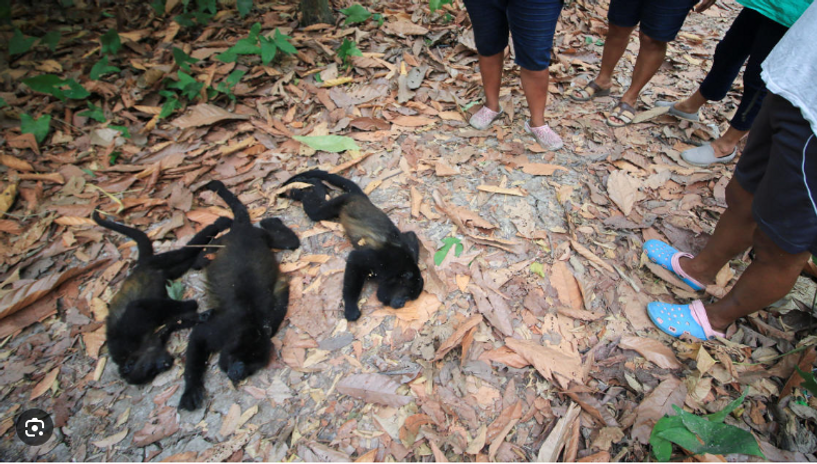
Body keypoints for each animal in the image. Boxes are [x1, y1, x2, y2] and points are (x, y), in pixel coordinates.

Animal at [93, 210, 233, 384]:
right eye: (152, 373)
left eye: (148, 368)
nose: (165, 365)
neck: (134, 351)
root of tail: (139, 266)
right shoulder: (155, 339)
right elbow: (172, 324)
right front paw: (201, 316)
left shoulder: (129, 329)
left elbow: (138, 306)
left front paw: (191, 304)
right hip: (164, 271)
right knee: (185, 262)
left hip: (156, 262)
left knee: (182, 253)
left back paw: (217, 225)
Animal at [180, 179, 302, 412]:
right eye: (241, 360)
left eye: (252, 366)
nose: (238, 373)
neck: (249, 325)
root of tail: (243, 229)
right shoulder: (222, 329)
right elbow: (198, 336)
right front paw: (191, 389)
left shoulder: (269, 323)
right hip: (227, 240)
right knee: (200, 260)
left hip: (262, 237)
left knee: (289, 242)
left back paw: (271, 221)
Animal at [280, 170, 424, 322]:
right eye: (407, 295)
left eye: (409, 298)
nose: (401, 304)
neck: (401, 269)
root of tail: (362, 198)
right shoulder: (385, 262)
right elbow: (355, 259)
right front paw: (351, 308)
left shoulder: (409, 248)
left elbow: (411, 235)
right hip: (342, 201)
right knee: (316, 211)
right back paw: (302, 191)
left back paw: (315, 185)